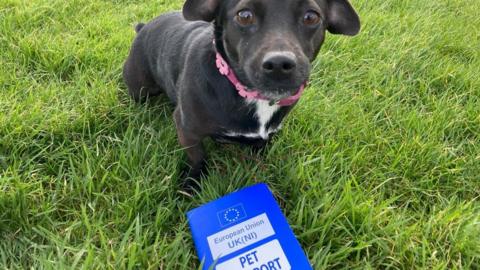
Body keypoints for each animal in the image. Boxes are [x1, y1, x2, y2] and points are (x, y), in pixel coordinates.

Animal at [124, 0, 360, 186]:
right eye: (244, 15)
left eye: (311, 17)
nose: (279, 64)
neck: (252, 95)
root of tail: (144, 27)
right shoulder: (186, 129)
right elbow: (198, 158)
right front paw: (193, 183)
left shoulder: (267, 134)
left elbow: (261, 148)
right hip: (140, 89)